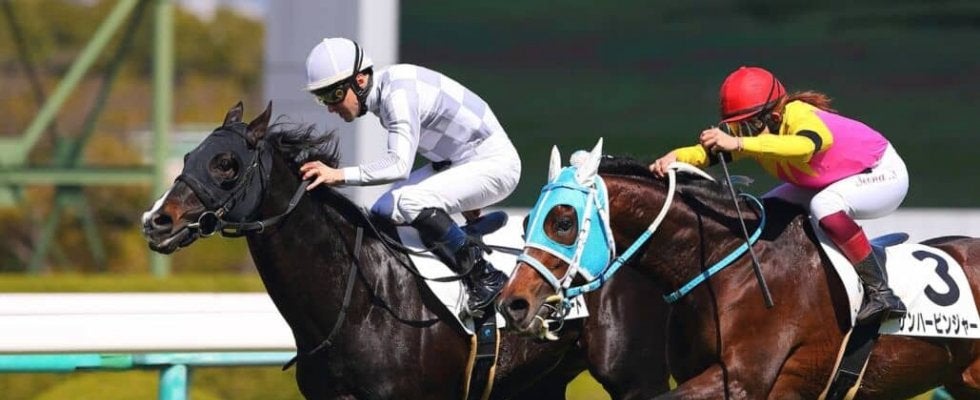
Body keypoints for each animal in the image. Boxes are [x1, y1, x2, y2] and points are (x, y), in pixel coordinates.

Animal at [140, 102, 669, 399]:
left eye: (227, 164)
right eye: (189, 156)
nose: (156, 220)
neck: (357, 302)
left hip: (633, 375)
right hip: (540, 383)